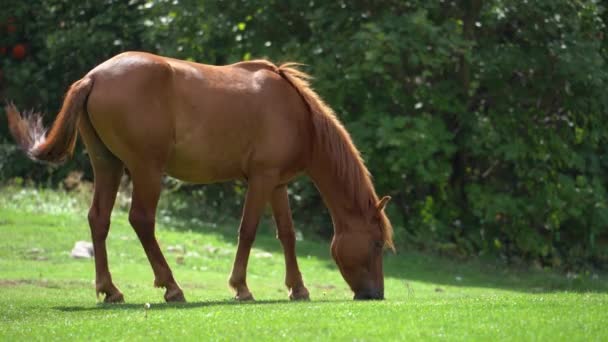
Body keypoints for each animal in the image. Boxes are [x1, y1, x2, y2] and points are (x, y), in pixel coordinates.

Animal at [5, 50, 394, 302]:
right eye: (377, 244)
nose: (375, 294)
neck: (298, 115)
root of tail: (94, 77)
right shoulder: (261, 179)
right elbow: (248, 230)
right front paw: (241, 287)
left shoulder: (278, 184)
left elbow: (287, 235)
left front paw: (297, 288)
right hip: (146, 170)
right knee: (141, 220)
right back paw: (172, 287)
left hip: (108, 165)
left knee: (99, 219)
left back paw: (111, 290)